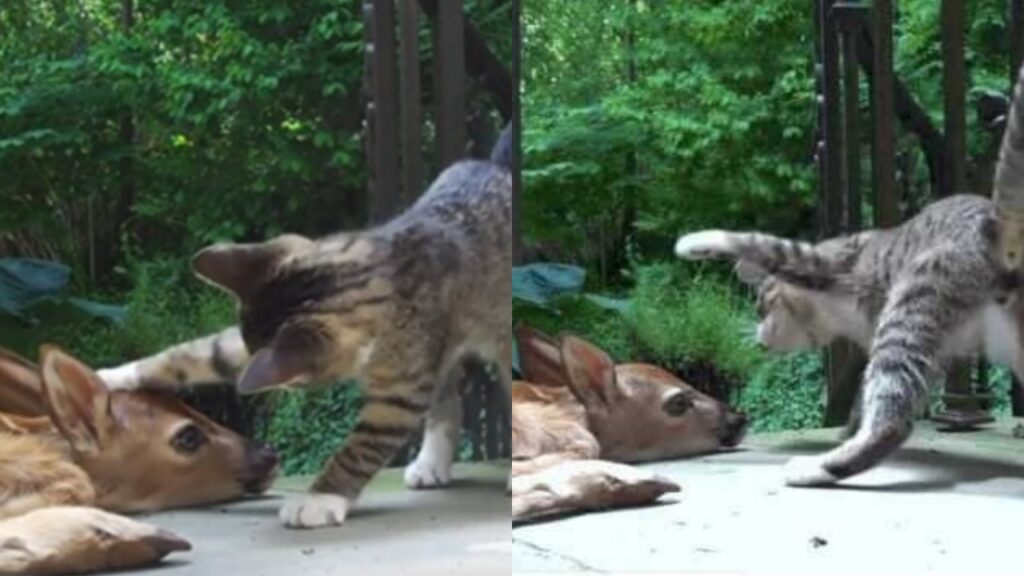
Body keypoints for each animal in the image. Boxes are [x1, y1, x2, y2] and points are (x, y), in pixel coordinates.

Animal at [98, 124, 512, 524]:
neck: (379, 273)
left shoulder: (401, 388)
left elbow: (361, 446)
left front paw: (319, 498)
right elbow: (198, 355)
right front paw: (111, 376)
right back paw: (431, 463)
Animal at [671, 69, 1024, 485]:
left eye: (761, 306)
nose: (757, 339)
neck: (834, 317)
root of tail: (1001, 226)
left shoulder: (819, 261)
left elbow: (752, 241)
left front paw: (694, 242)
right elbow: (858, 401)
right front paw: (847, 426)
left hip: (911, 308)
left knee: (891, 425)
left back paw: (815, 467)